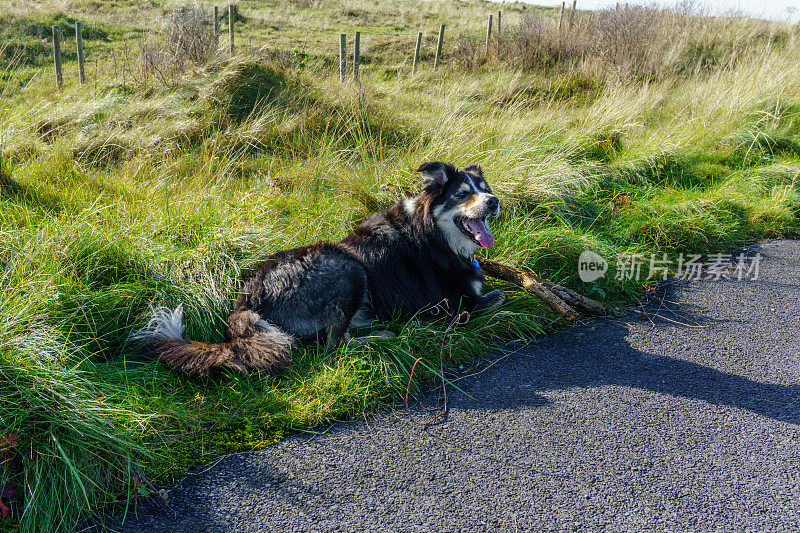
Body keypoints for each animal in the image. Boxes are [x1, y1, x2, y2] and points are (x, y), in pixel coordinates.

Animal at [134, 162, 504, 374]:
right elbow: (490, 300)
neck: (434, 234)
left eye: (485, 190)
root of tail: (247, 302)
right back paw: (384, 335)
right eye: (462, 194)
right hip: (349, 269)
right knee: (334, 345)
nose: (494, 202)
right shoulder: (447, 305)